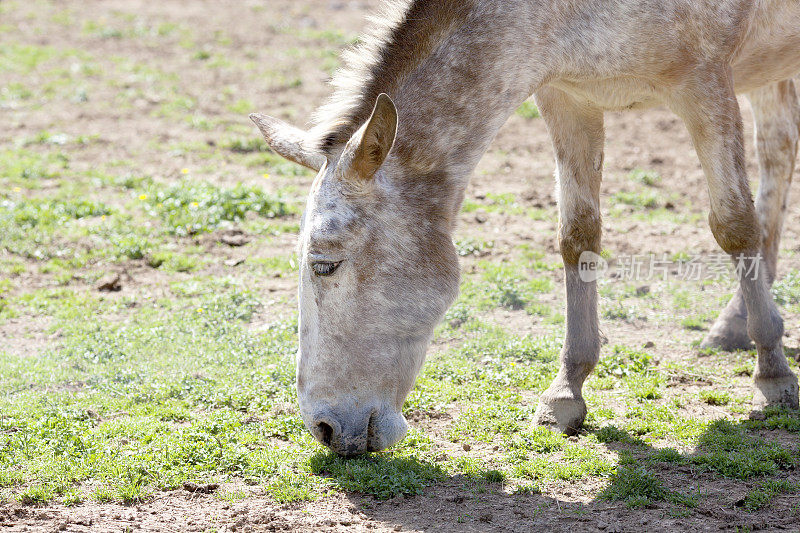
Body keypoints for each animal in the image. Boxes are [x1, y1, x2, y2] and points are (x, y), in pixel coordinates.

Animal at [253, 0, 800, 456]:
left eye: (325, 264)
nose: (324, 428)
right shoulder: (566, 97)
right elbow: (578, 236)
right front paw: (566, 391)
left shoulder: (705, 85)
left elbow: (734, 224)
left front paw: (773, 374)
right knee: (779, 147)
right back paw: (733, 323)